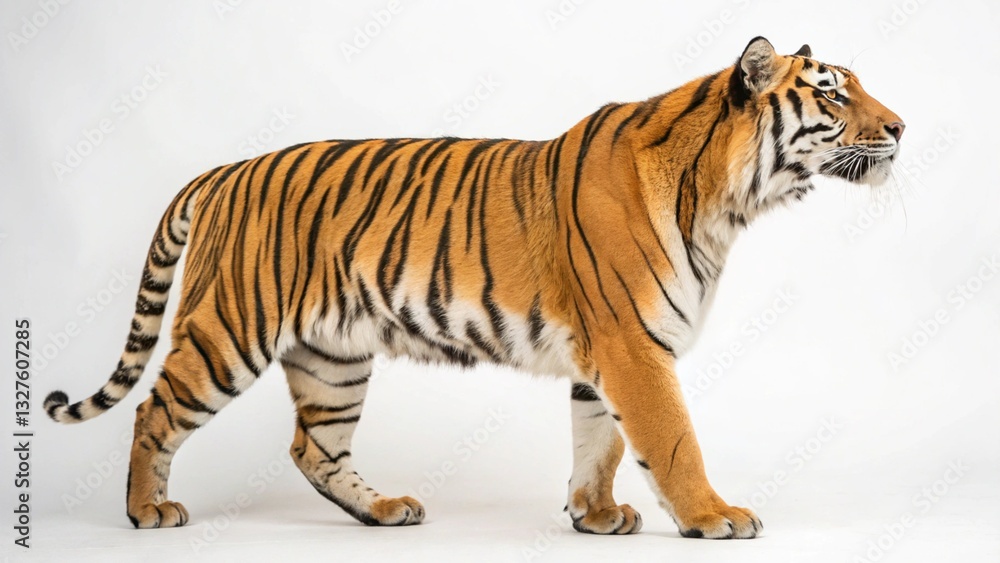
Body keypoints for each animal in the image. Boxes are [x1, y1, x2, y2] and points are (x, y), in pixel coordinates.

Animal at [45, 37, 903, 538]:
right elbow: (670, 437)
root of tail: (225, 170)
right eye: (832, 92)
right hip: (230, 330)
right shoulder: (633, 345)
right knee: (155, 408)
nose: (900, 126)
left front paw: (595, 514)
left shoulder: (611, 353)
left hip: (332, 357)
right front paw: (712, 514)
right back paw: (146, 510)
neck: (728, 199)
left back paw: (384, 509)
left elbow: (599, 440)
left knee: (312, 445)